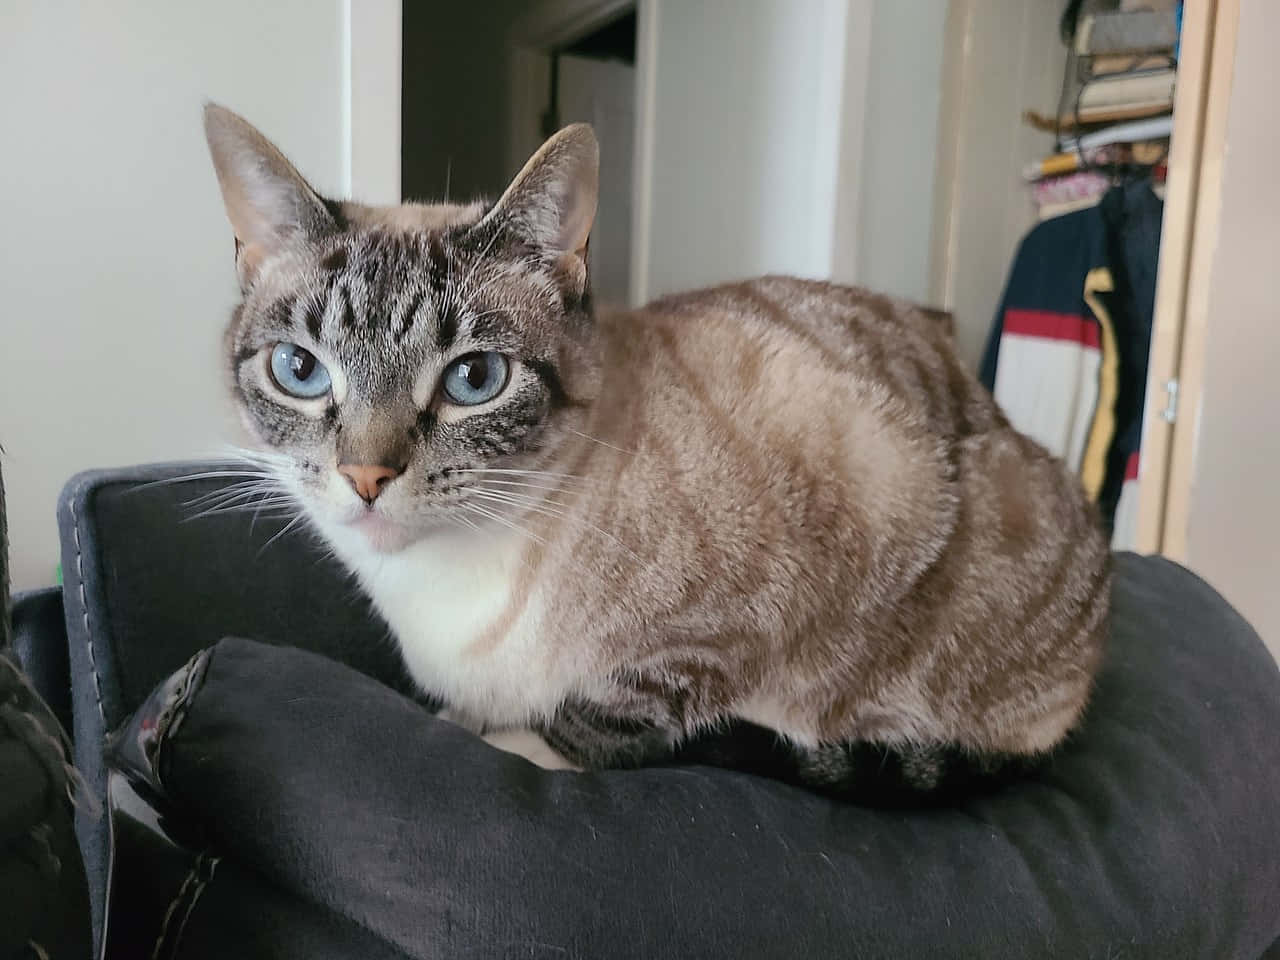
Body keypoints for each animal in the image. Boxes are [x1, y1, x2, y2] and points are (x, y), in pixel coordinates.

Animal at [202, 104, 1111, 803]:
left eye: (473, 379)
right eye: (300, 371)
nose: (366, 477)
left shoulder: (730, 622)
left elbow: (593, 721)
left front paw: (510, 742)